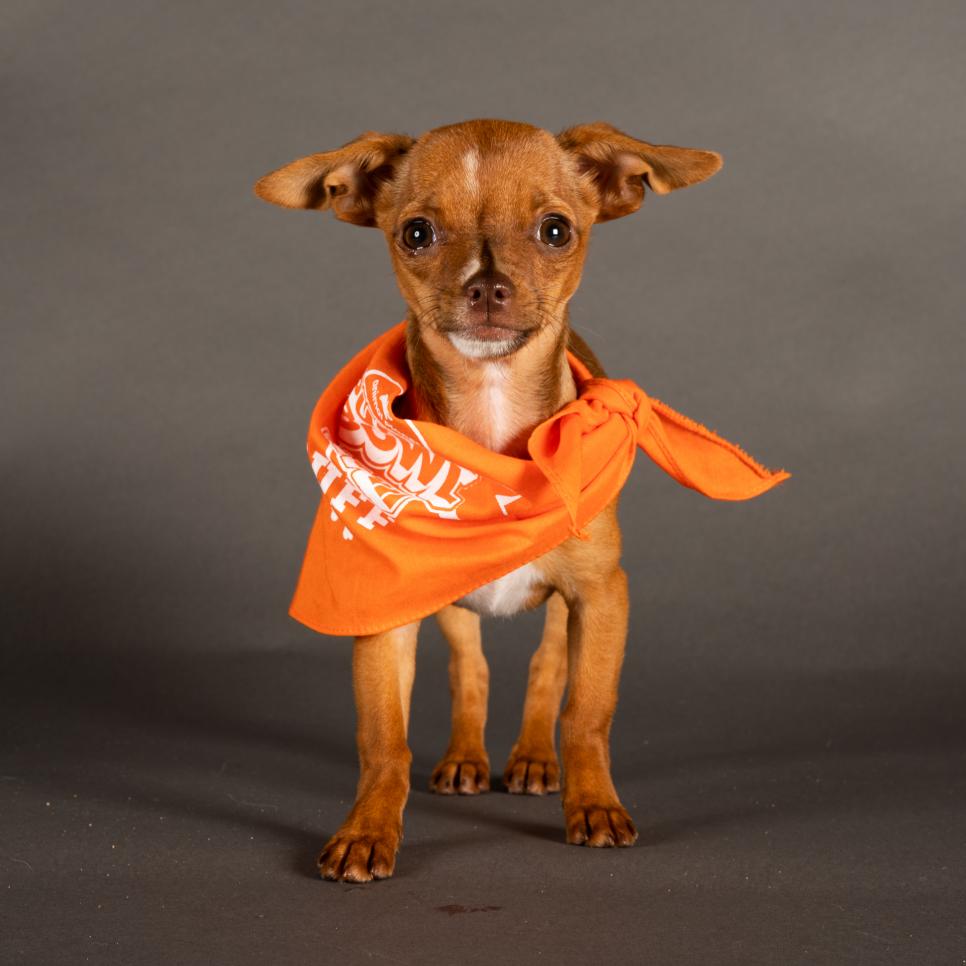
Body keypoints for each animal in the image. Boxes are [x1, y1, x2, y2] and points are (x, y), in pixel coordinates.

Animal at [253, 117, 724, 880]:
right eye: (416, 234)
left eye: (556, 231)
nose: (488, 287)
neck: (491, 414)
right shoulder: (387, 616)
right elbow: (384, 740)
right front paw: (367, 829)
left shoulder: (603, 596)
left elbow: (585, 712)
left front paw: (595, 804)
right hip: (449, 602)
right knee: (469, 667)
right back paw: (468, 758)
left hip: (569, 605)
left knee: (546, 667)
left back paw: (532, 759)